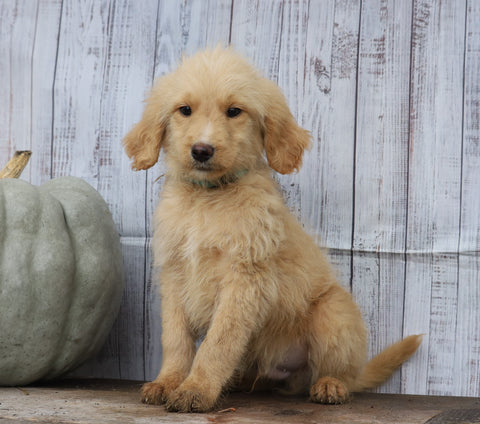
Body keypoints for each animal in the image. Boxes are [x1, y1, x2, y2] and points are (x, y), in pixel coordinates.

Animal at [124, 48, 420, 412]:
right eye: (185, 110)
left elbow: (217, 342)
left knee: (343, 372)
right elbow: (176, 340)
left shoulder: (244, 280)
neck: (207, 199)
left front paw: (196, 389)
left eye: (234, 111)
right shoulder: (175, 275)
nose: (202, 150)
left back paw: (331, 385)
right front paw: (168, 382)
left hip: (334, 312)